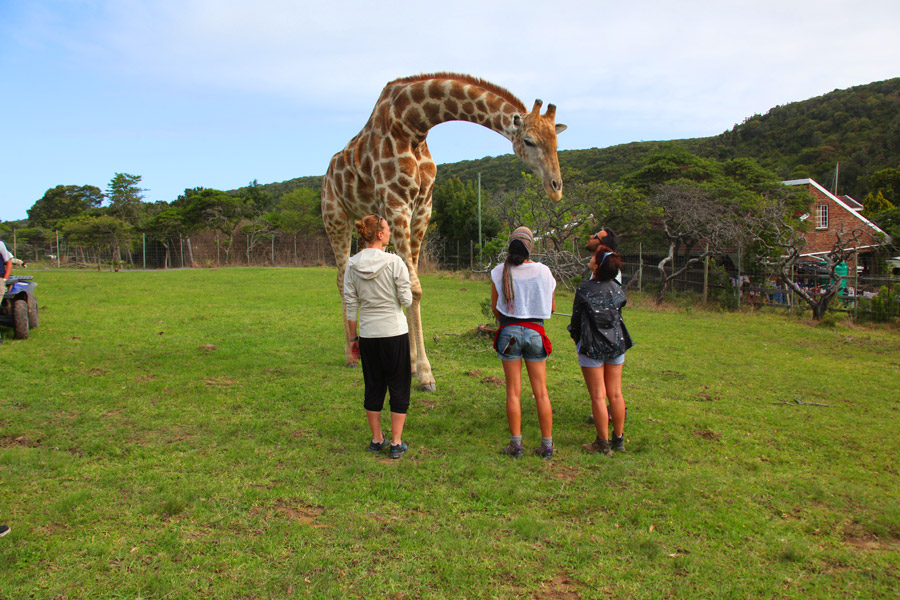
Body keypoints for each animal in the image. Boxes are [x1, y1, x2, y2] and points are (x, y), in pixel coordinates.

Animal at [320, 72, 568, 392]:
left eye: (556, 141)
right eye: (529, 141)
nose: (556, 188)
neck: (414, 124)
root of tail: (327, 174)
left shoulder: (422, 207)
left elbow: (408, 285)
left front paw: (413, 363)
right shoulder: (397, 202)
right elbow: (413, 288)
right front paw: (426, 375)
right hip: (336, 217)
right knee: (341, 280)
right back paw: (350, 356)